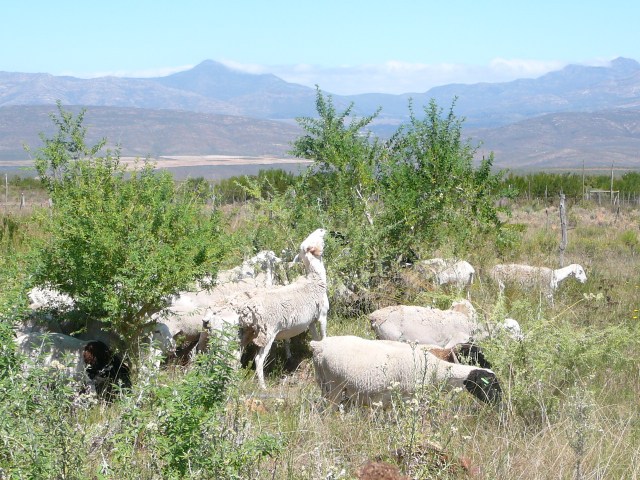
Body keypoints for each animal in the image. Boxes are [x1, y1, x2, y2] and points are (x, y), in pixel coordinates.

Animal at [310, 336, 502, 407]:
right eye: (488, 384)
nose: (499, 403)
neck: (437, 370)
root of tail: (319, 346)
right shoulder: (410, 397)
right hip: (334, 385)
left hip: (324, 383)